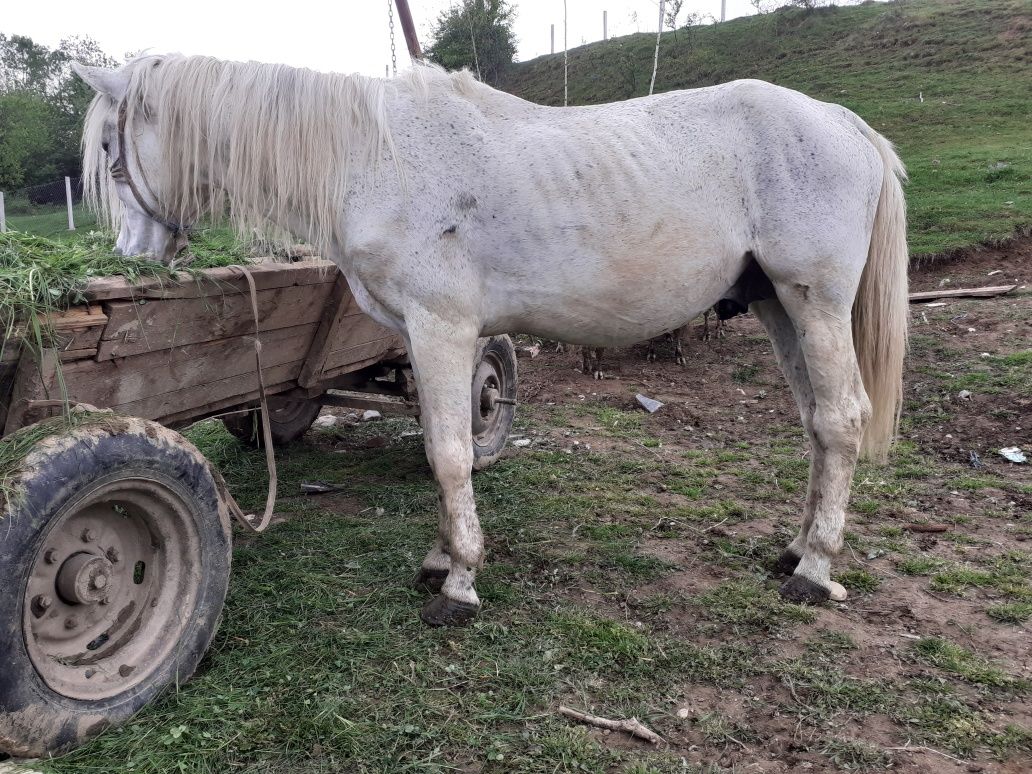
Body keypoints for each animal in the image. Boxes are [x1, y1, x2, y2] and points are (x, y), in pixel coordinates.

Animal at [74, 55, 912, 623]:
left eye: (111, 154)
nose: (128, 259)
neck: (376, 157)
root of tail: (841, 123)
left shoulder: (443, 329)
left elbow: (450, 454)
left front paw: (460, 584)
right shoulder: (419, 337)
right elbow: (435, 448)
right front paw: (441, 556)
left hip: (814, 304)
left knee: (841, 421)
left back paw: (813, 572)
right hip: (777, 309)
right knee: (815, 425)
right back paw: (797, 549)